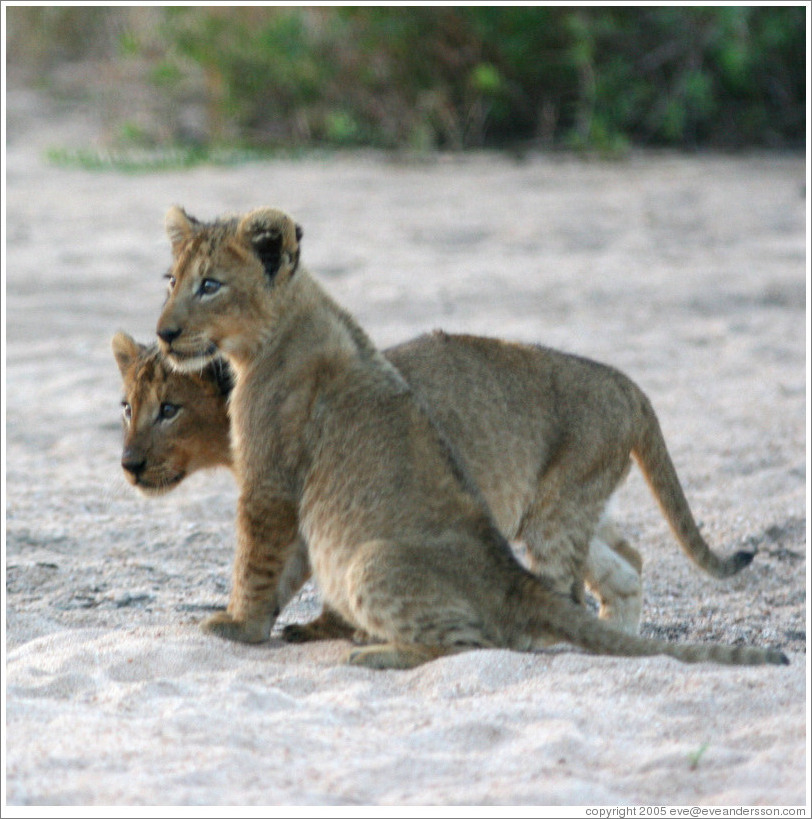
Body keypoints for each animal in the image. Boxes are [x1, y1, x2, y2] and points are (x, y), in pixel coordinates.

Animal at [151, 204, 785, 668]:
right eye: (172, 280)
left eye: (210, 285)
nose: (164, 333)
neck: (283, 324)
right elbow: (284, 565)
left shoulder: (270, 479)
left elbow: (255, 560)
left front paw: (238, 624)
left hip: (376, 559)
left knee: (475, 640)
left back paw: (376, 653)